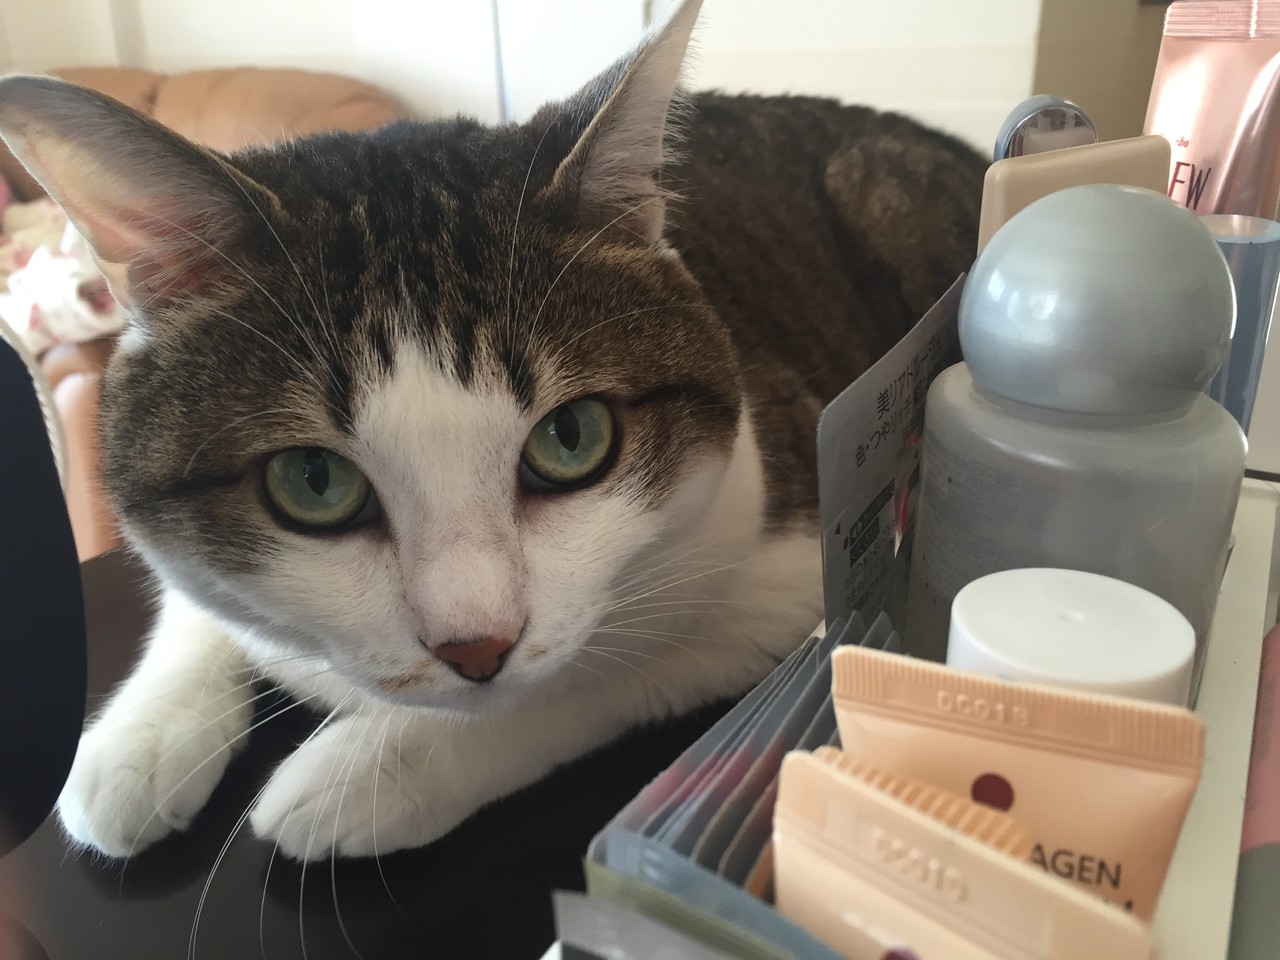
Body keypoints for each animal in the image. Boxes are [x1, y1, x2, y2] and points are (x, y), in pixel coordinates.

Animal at [0, 0, 984, 861]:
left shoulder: (796, 564)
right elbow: (195, 594)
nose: (475, 647)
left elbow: (598, 671)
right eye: (313, 483)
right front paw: (136, 742)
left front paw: (360, 771)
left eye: (571, 438)